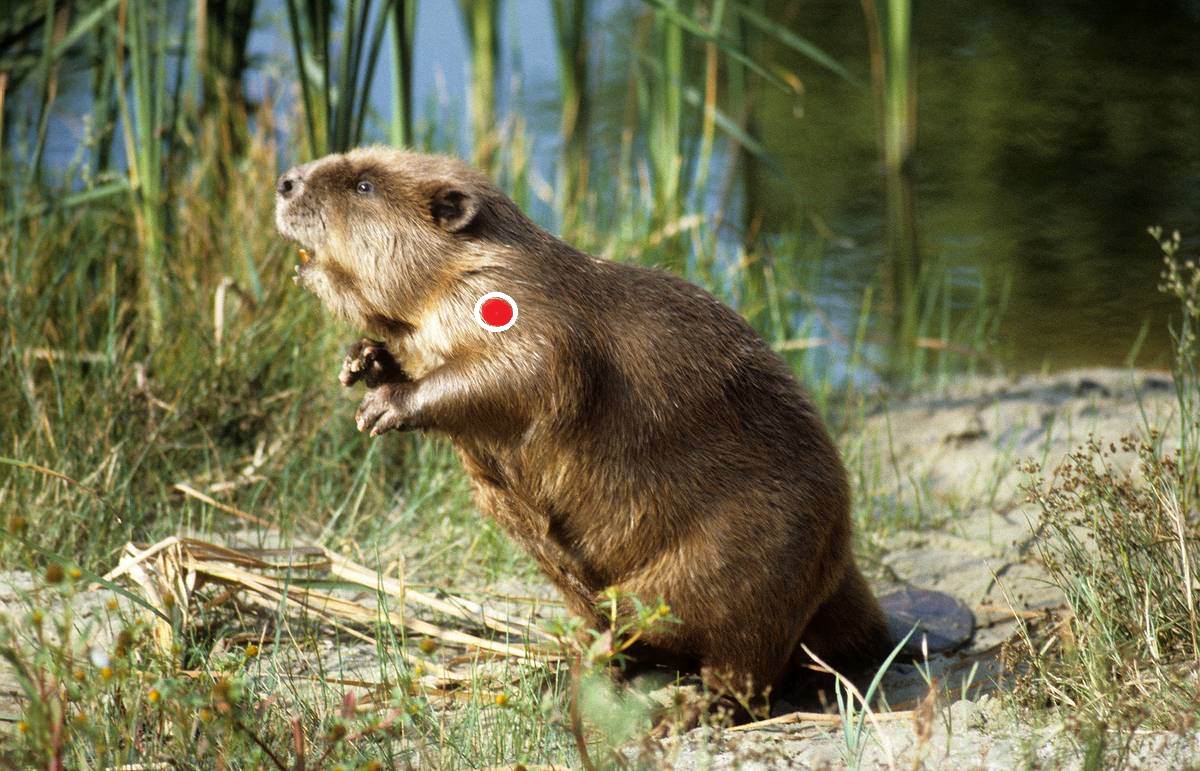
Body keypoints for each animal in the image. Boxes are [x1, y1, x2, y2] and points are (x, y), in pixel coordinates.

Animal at [272, 145, 892, 715]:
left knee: (748, 664)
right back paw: (573, 667)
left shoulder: (531, 309)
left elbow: (523, 371)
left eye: (364, 184)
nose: (285, 181)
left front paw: (382, 406)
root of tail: (846, 570)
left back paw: (690, 706)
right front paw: (362, 361)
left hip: (748, 555)